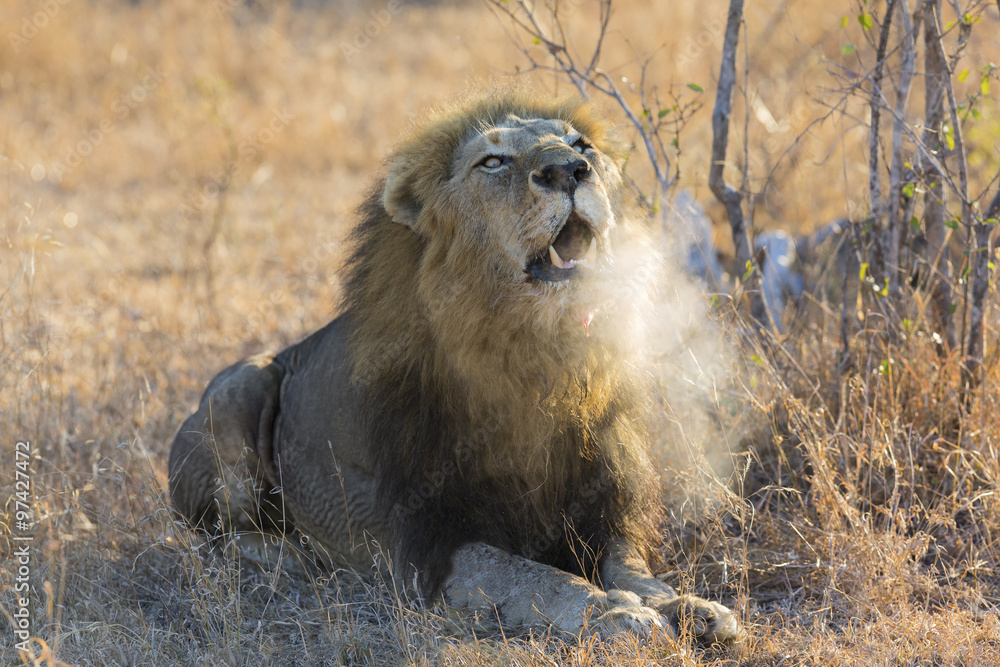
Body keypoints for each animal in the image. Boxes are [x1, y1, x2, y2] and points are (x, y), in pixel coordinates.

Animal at [168, 89, 741, 644]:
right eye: (492, 161)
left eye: (581, 145)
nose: (570, 170)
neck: (537, 357)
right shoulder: (432, 544)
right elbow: (540, 579)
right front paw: (615, 614)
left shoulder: (604, 511)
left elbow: (634, 569)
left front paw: (689, 606)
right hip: (241, 388)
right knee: (211, 538)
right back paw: (292, 554)